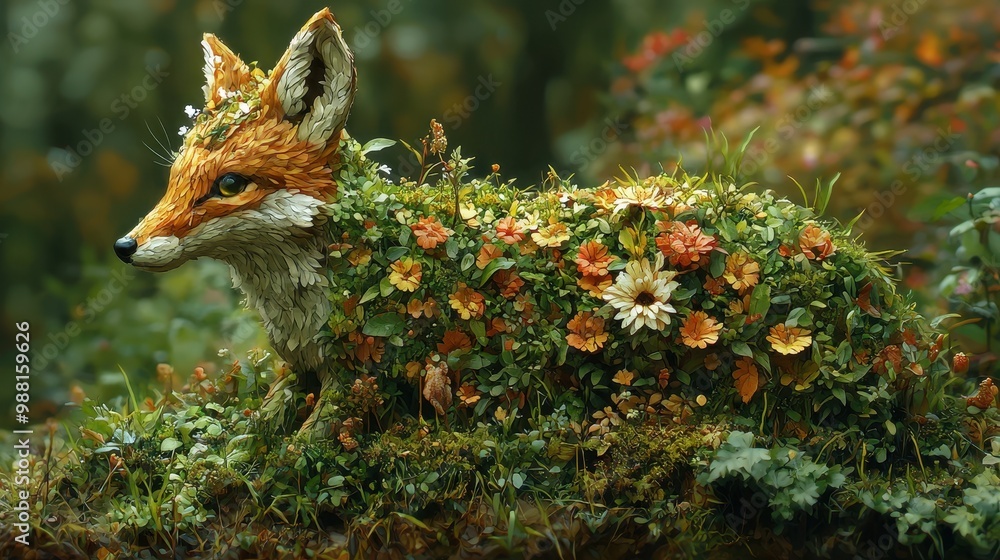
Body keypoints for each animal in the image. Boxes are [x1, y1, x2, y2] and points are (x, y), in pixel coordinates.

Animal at [114, 7, 968, 463]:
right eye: (175, 180)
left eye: (229, 187)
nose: (126, 247)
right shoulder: (303, 369)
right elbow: (248, 432)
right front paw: (228, 454)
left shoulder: (369, 379)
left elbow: (300, 453)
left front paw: (265, 469)